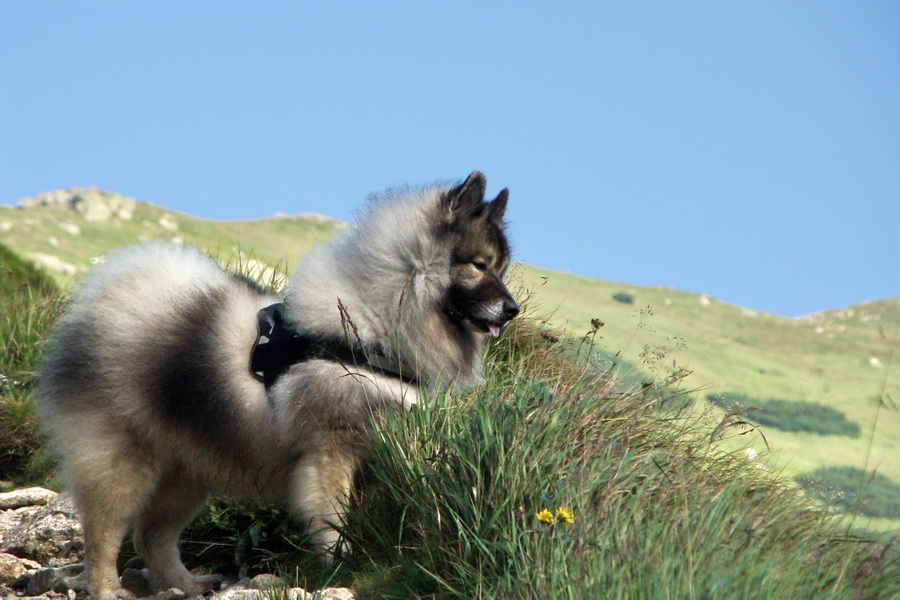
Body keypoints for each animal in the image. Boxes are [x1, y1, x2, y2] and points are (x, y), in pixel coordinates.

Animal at [38, 171, 516, 596]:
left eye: (501, 268)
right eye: (479, 266)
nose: (511, 310)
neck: (369, 325)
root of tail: (109, 295)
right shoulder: (330, 450)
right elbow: (331, 518)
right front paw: (338, 565)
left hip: (186, 469)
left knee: (152, 536)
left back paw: (185, 585)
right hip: (121, 461)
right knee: (104, 535)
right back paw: (108, 589)